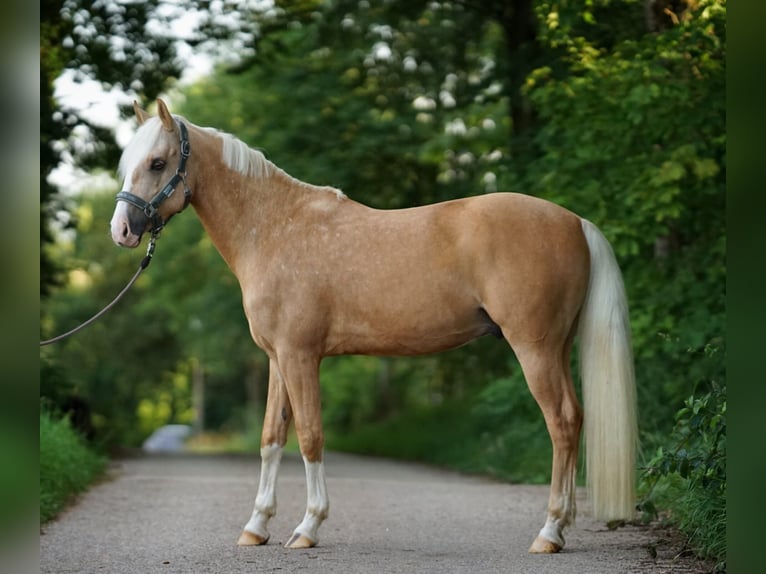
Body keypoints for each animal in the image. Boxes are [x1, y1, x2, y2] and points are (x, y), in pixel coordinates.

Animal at [109, 100, 636, 560]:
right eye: (128, 163)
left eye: (158, 162)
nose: (122, 230)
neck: (275, 228)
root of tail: (575, 221)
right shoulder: (277, 359)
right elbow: (271, 437)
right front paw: (256, 526)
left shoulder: (301, 356)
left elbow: (310, 436)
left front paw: (307, 527)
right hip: (558, 347)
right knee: (575, 418)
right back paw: (560, 527)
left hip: (535, 349)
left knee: (561, 422)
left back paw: (548, 533)